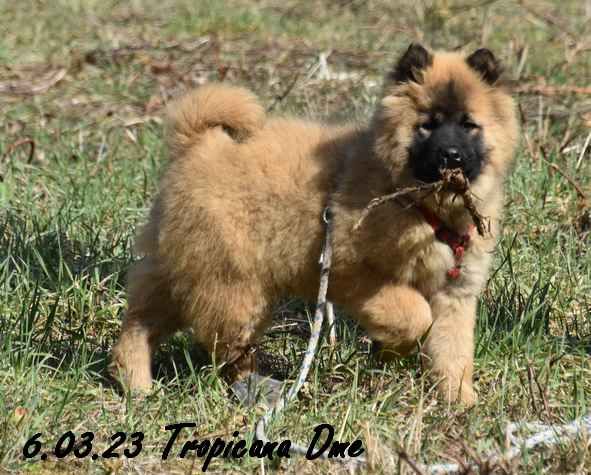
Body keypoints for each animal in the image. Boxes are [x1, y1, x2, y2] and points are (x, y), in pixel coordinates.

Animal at [111, 43, 520, 406]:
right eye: (427, 126)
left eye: (469, 125)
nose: (451, 156)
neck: (421, 206)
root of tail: (199, 144)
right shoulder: (353, 272)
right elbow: (413, 314)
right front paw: (395, 348)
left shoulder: (456, 294)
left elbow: (453, 354)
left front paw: (460, 403)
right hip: (232, 286)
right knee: (223, 346)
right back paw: (258, 388)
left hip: (182, 272)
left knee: (139, 324)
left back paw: (136, 383)